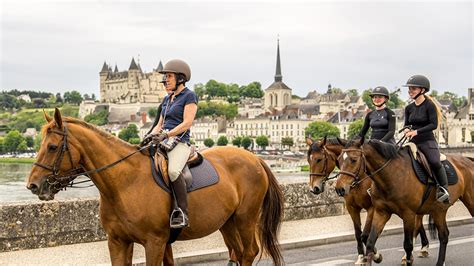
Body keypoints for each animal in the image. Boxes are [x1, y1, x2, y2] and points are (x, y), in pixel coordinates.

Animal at [26, 108, 286, 266]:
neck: (124, 183)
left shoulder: (155, 242)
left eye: (51, 147)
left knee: (249, 252)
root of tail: (255, 158)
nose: (33, 185)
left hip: (245, 218)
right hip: (227, 222)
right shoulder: (118, 242)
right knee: (237, 252)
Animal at [336, 138, 474, 264]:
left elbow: (408, 245)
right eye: (339, 160)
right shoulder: (381, 212)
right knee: (444, 235)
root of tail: (468, 159)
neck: (392, 175)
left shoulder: (408, 214)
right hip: (438, 210)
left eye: (353, 160)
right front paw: (376, 256)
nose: (339, 189)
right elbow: (369, 241)